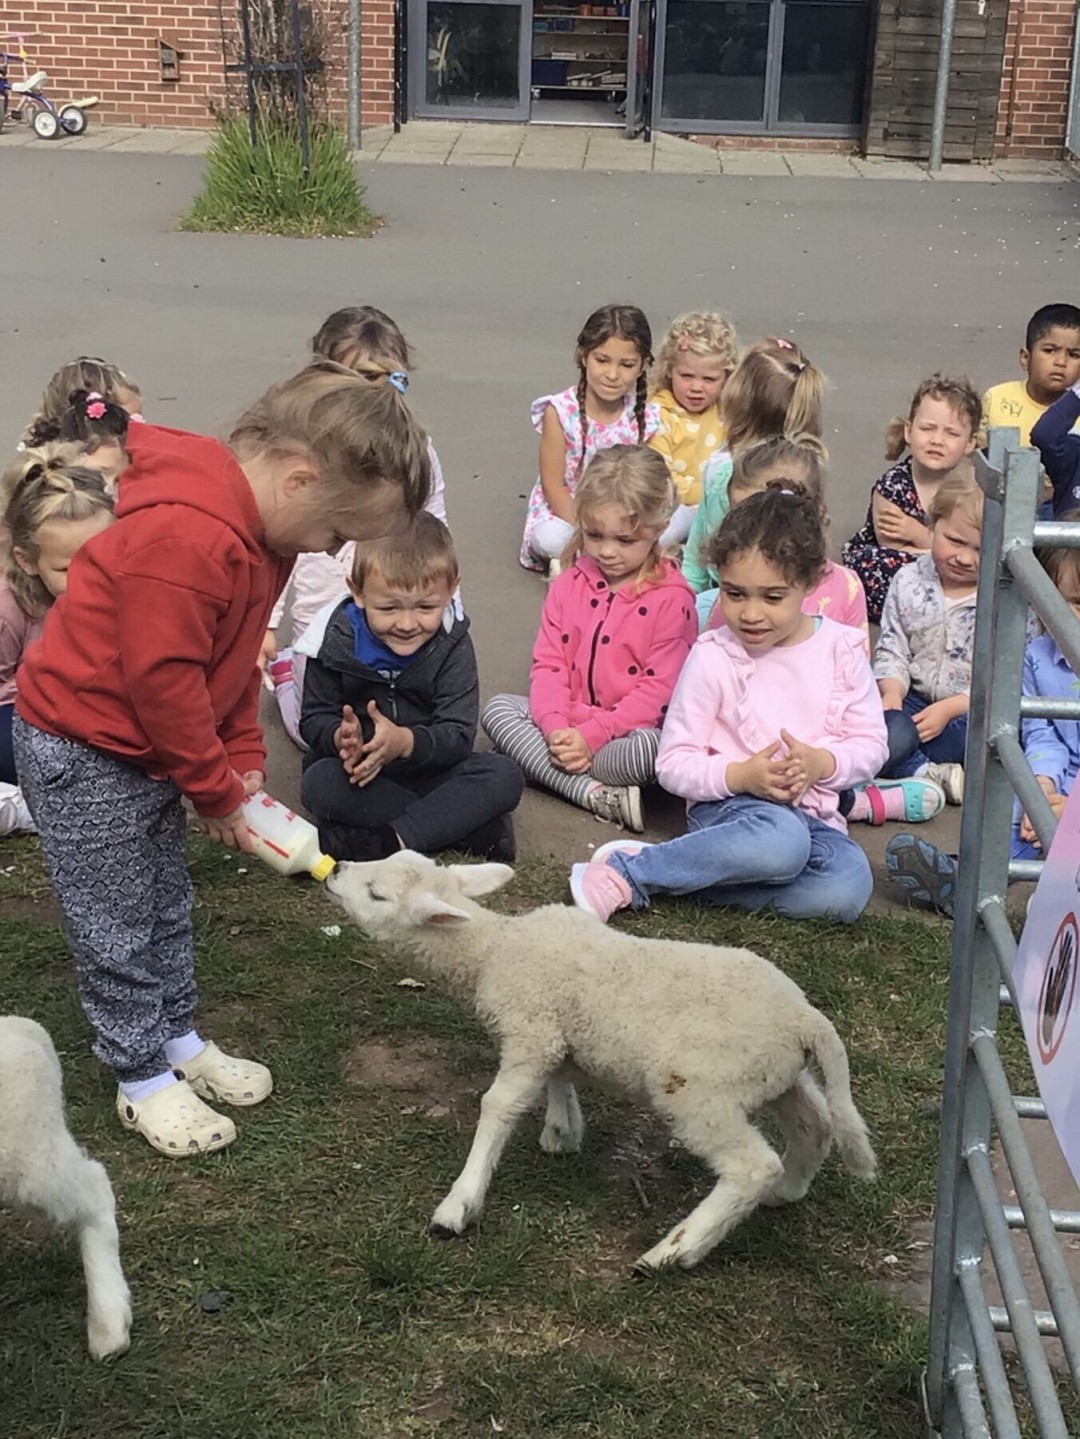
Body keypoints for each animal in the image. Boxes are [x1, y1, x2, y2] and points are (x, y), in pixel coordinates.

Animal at [329, 851, 880, 1272]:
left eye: (377, 894)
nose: (336, 870)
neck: (496, 951)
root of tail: (806, 1019)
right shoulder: (554, 1035)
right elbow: (557, 1077)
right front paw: (562, 1130)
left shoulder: (530, 1029)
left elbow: (499, 1105)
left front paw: (459, 1204)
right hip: (774, 1073)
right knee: (815, 1123)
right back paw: (786, 1190)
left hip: (700, 1087)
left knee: (751, 1165)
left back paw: (674, 1252)